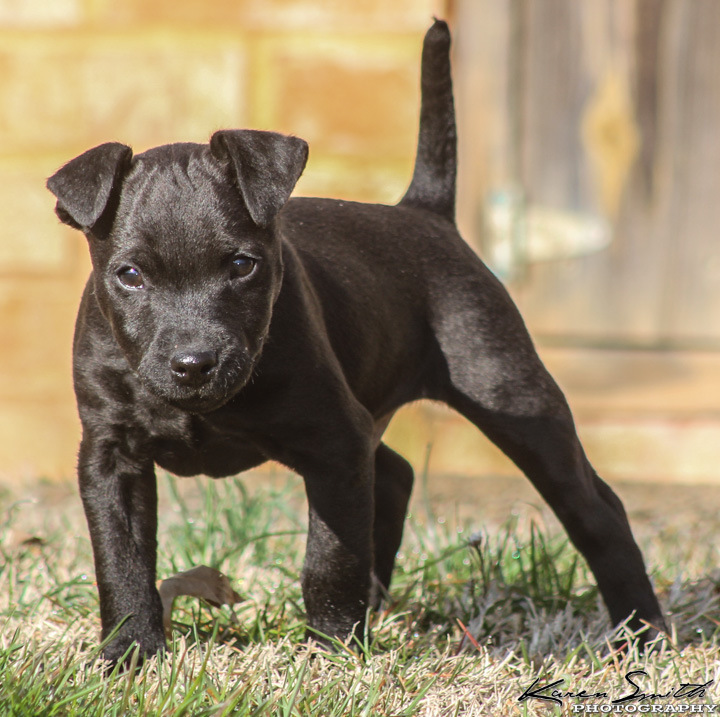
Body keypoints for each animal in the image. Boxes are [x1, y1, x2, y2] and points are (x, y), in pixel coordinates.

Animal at [45, 21, 664, 660]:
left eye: (242, 265)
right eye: (129, 275)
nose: (194, 363)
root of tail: (424, 213)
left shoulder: (335, 445)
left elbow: (329, 558)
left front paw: (333, 647)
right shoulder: (111, 457)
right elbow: (121, 561)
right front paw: (129, 652)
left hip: (514, 396)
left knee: (596, 510)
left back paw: (641, 631)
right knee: (395, 474)